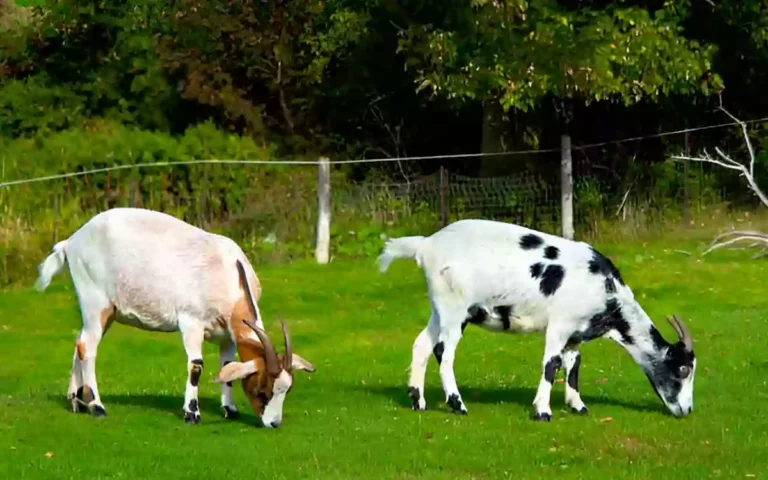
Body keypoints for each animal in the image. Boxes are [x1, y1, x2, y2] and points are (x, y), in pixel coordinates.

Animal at [35, 207, 315, 428]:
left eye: (287, 389)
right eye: (262, 389)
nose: (273, 423)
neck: (228, 274)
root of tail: (71, 241)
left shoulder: (226, 335)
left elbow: (226, 367)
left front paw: (230, 410)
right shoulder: (191, 322)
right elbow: (197, 366)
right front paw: (192, 413)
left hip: (105, 313)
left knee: (80, 342)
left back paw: (75, 401)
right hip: (96, 302)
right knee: (88, 347)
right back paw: (96, 406)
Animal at [378, 219, 696, 421]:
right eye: (682, 369)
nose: (687, 410)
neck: (606, 290)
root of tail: (425, 245)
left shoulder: (575, 334)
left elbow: (573, 364)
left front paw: (578, 406)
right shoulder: (559, 325)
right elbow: (551, 364)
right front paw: (543, 411)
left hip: (441, 308)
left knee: (422, 344)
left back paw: (418, 402)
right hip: (454, 306)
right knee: (444, 351)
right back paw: (458, 405)